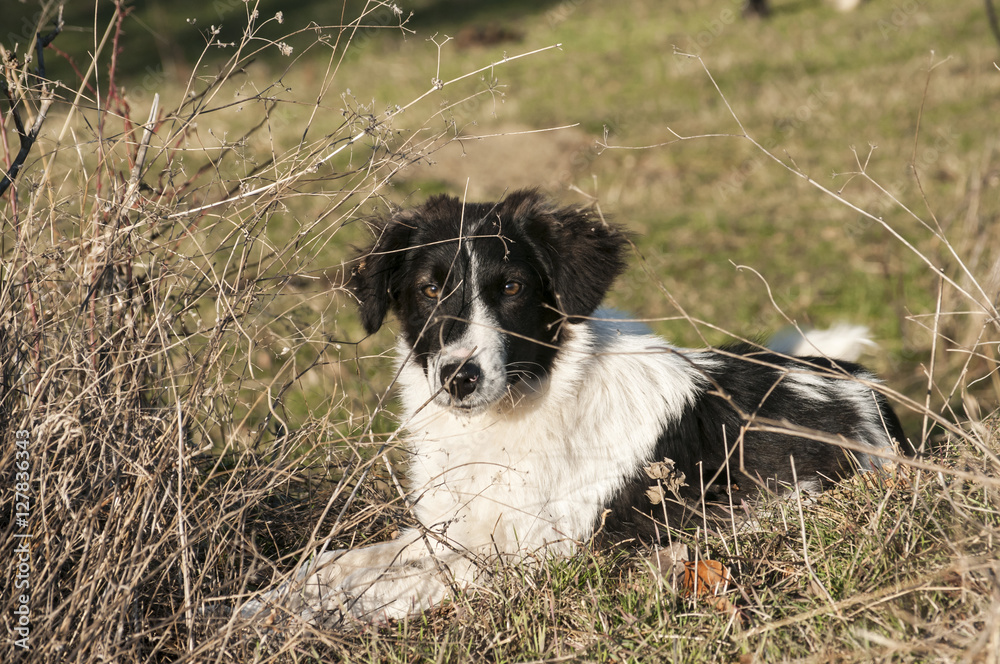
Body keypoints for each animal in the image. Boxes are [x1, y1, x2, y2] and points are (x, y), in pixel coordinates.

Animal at [242, 189, 908, 624]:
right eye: (429, 289)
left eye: (512, 288)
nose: (459, 377)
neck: (518, 412)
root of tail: (865, 390)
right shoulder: (448, 530)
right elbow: (333, 563)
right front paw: (262, 607)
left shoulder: (530, 560)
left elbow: (382, 589)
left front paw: (296, 621)